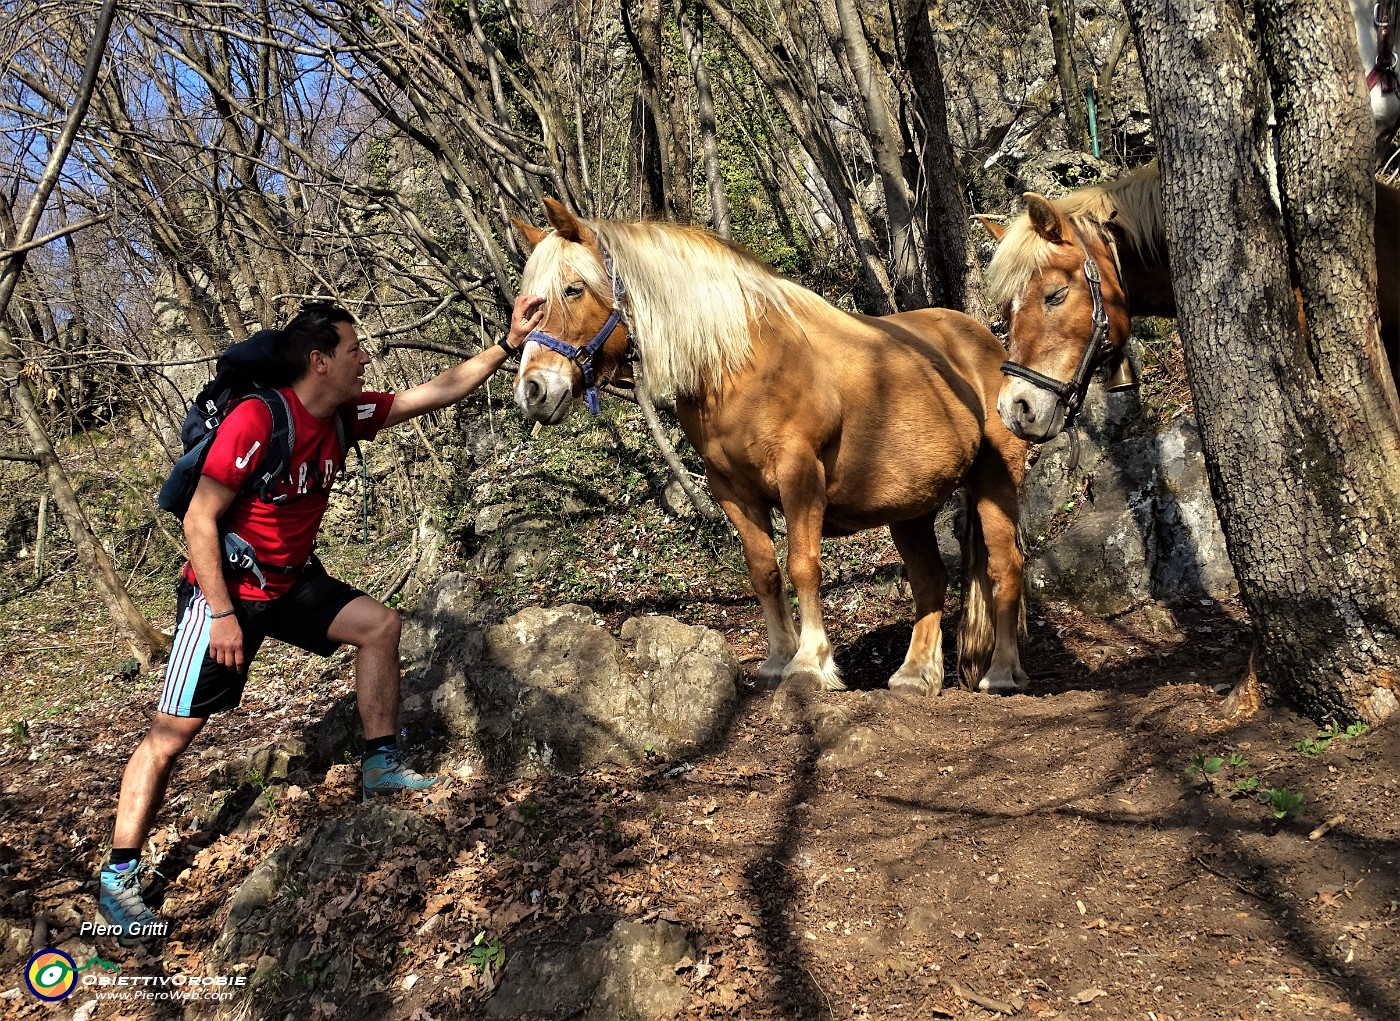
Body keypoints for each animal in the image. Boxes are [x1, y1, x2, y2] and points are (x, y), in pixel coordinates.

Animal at [512, 198, 1030, 691]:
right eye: (528, 303)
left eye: (573, 289)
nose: (533, 390)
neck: (739, 364)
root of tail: (987, 340)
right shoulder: (731, 490)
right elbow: (763, 570)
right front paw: (778, 660)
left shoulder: (799, 474)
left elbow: (802, 565)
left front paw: (809, 661)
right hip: (911, 508)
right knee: (930, 580)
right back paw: (916, 673)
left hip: (994, 481)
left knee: (1006, 567)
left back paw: (1003, 672)